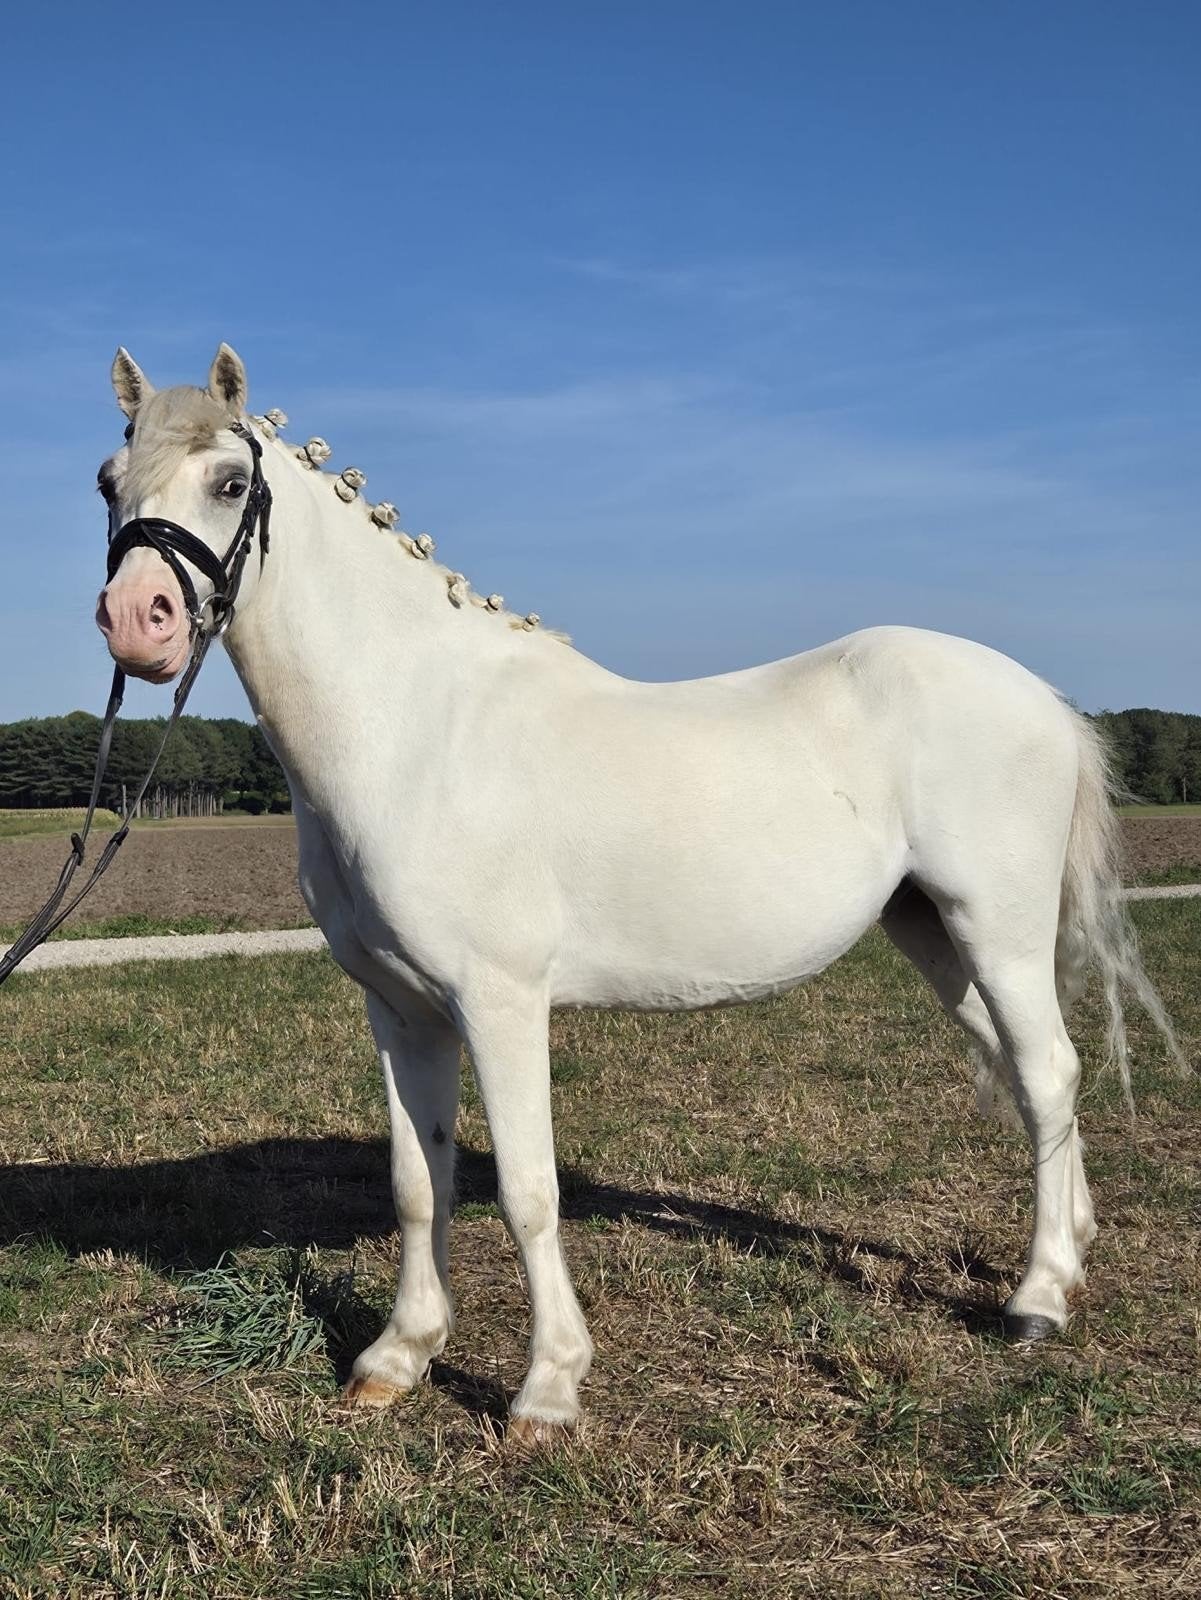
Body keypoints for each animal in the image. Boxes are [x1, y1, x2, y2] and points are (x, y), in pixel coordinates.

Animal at [95, 344, 1181, 1443]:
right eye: (109, 483)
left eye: (231, 484)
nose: (136, 623)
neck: (414, 728)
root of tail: (1041, 698)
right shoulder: (399, 1010)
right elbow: (417, 1181)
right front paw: (397, 1358)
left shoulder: (498, 1001)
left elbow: (527, 1189)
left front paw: (547, 1388)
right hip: (934, 935)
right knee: (1033, 1072)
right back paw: (1071, 1250)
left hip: (996, 929)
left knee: (1046, 1070)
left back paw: (1037, 1300)